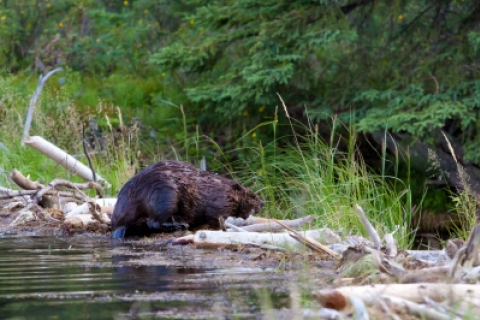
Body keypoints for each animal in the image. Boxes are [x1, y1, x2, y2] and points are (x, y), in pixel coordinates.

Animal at [111, 160, 264, 238]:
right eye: (252, 195)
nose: (262, 203)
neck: (221, 188)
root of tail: (118, 225)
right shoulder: (219, 202)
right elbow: (214, 216)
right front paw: (222, 227)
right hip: (166, 195)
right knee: (153, 222)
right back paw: (180, 225)